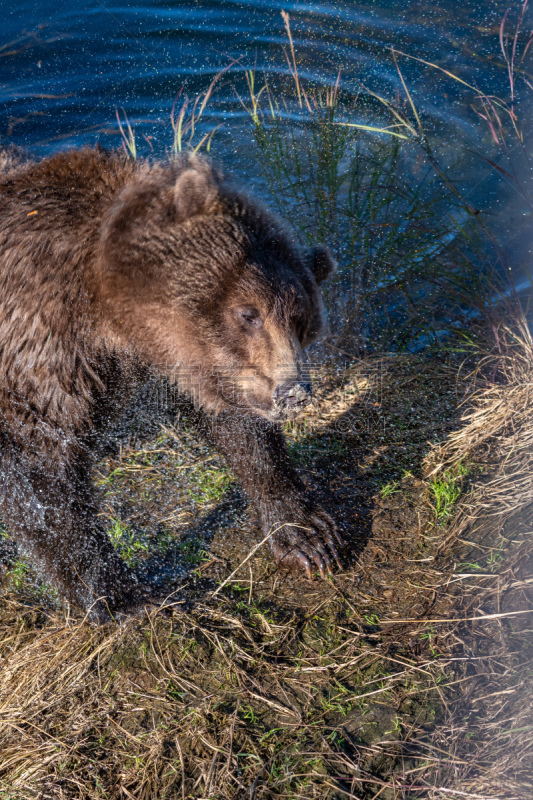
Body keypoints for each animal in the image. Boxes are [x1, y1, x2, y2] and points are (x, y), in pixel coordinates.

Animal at [0, 147, 340, 620]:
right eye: (247, 314)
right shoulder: (42, 353)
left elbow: (241, 431)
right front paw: (123, 597)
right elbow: (42, 480)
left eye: (302, 320)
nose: (292, 391)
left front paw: (307, 534)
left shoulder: (177, 364)